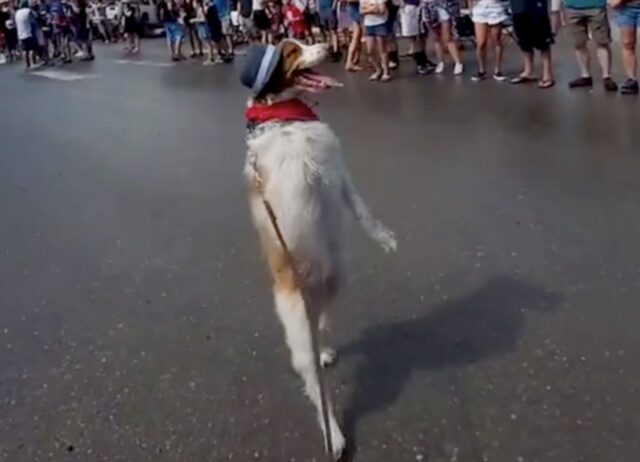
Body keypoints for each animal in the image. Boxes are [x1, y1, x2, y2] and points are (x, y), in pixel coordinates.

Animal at [241, 38, 398, 458]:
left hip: (335, 282)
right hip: (299, 326)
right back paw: (336, 435)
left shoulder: (337, 172)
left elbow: (361, 208)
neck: (285, 119)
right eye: (291, 50)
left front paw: (383, 236)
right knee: (316, 389)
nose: (328, 43)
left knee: (323, 323)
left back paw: (325, 347)